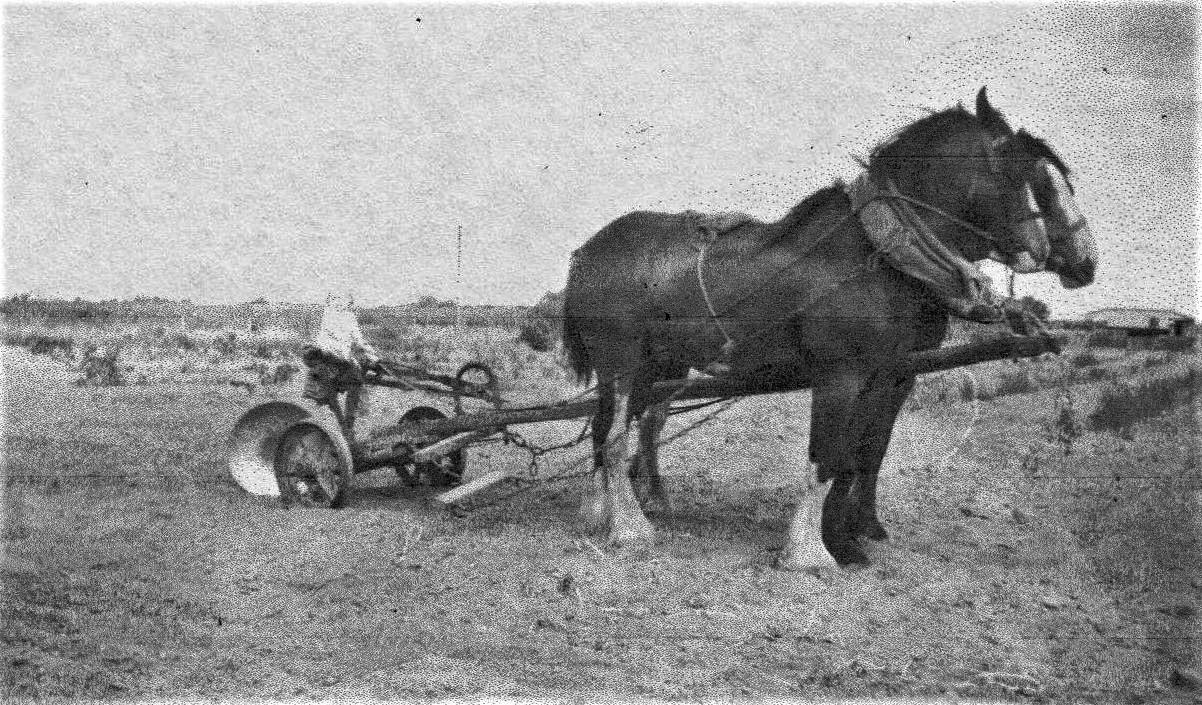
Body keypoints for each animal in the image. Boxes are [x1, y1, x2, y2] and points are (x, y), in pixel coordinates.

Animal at [562, 89, 1101, 574]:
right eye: (1029, 175)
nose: (1087, 260)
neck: (882, 257)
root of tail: (587, 252)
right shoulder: (841, 375)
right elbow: (829, 456)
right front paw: (810, 552)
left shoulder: (888, 374)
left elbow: (864, 454)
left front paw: (851, 535)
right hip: (621, 361)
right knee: (614, 437)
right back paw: (630, 529)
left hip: (654, 366)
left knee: (617, 429)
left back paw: (602, 513)